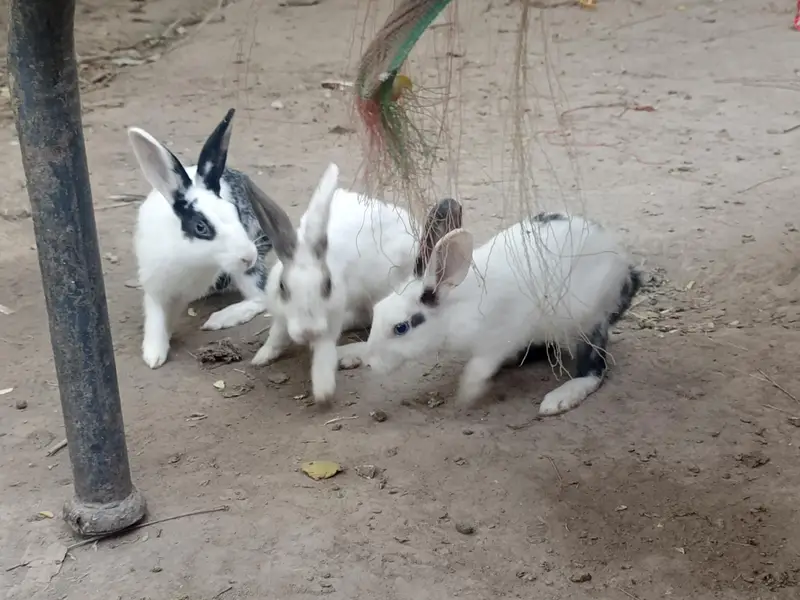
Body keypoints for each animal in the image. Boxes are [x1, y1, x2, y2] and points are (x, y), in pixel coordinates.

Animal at [128, 108, 274, 369]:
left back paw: (222, 318)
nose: (248, 256)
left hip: (247, 269)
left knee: (260, 296)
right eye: (200, 227)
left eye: (235, 212)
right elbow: (156, 317)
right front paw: (154, 354)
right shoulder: (154, 286)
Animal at [244, 162, 421, 403]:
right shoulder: (281, 315)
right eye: (282, 287)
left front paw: (323, 393)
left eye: (327, 285)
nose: (308, 332)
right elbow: (277, 335)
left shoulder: (330, 319)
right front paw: (262, 357)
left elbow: (324, 355)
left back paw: (349, 357)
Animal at [362, 210, 642, 416]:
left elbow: (478, 367)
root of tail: (626, 270)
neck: (454, 311)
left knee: (594, 368)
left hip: (588, 321)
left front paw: (466, 394)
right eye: (377, 310)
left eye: (401, 327)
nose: (370, 363)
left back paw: (558, 399)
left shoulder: (502, 335)